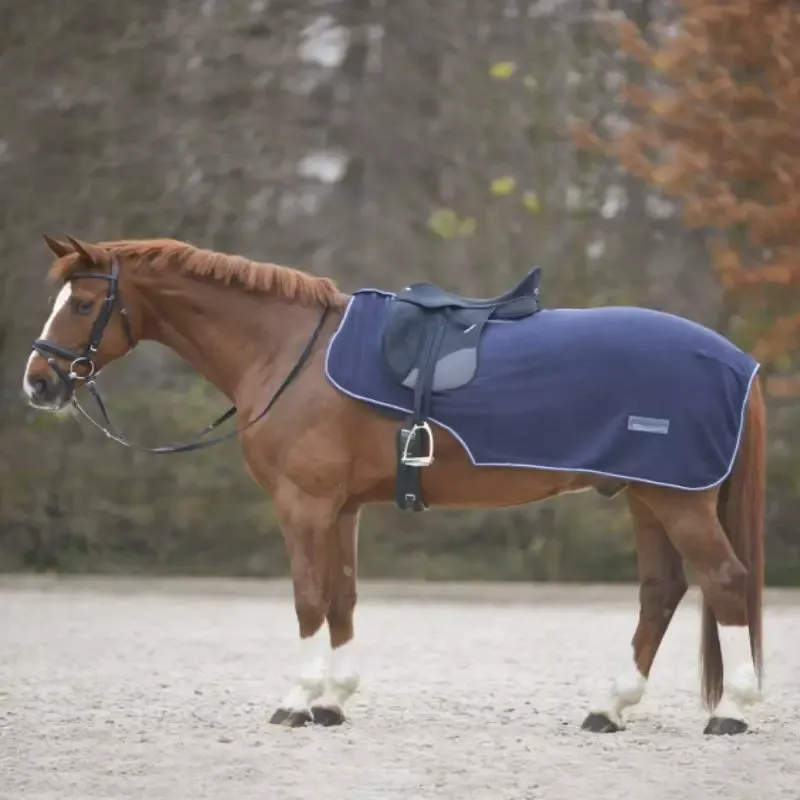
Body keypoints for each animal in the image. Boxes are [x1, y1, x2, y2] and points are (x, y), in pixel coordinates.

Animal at [22, 234, 766, 736]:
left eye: (82, 302)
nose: (38, 382)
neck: (290, 353)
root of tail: (736, 359)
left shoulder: (303, 505)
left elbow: (308, 599)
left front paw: (296, 701)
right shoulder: (342, 509)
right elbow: (342, 597)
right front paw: (332, 701)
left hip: (676, 499)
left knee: (725, 580)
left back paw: (732, 710)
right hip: (645, 496)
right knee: (661, 592)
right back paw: (609, 709)